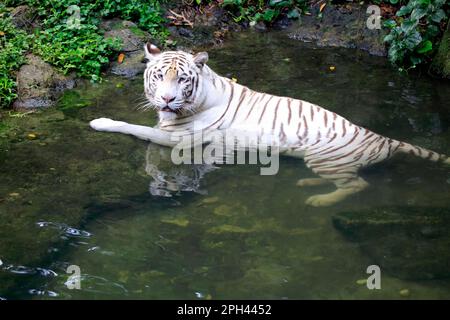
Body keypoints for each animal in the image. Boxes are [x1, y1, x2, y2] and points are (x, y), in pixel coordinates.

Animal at [89, 43, 448, 208]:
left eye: (182, 79)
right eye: (160, 76)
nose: (166, 99)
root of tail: (383, 138)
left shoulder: (175, 139)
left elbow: (136, 128)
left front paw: (99, 121)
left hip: (327, 160)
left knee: (357, 185)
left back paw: (317, 200)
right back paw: (307, 185)